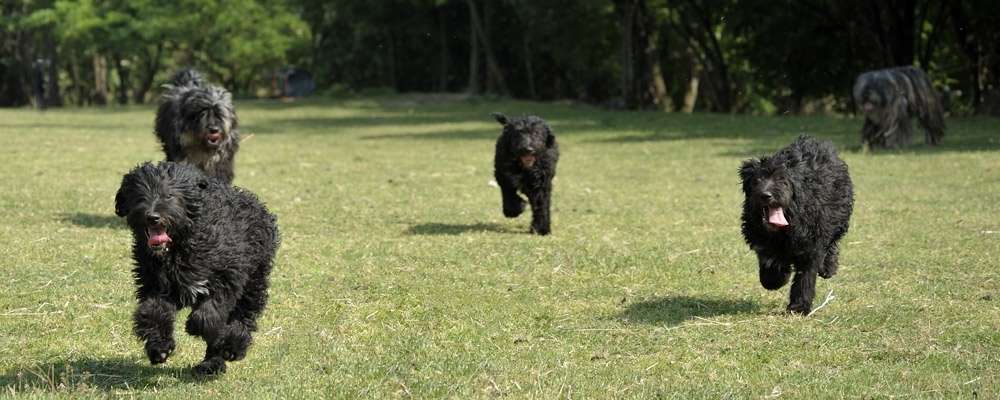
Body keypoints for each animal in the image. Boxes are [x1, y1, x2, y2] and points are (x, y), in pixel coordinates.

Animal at [115, 161, 280, 374]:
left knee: (244, 314)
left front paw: (197, 326)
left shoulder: (229, 273)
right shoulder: (156, 284)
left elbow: (211, 310)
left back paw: (230, 348)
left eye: (169, 195)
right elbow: (153, 312)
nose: (152, 217)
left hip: (255, 278)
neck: (180, 245)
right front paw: (159, 347)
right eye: (138, 195)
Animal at [740, 137, 856, 316]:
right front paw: (776, 278)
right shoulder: (763, 240)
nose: (766, 195)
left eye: (783, 181)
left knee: (832, 243)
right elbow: (770, 262)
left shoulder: (811, 246)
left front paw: (799, 307)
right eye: (756, 181)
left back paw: (828, 267)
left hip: (838, 217)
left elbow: (805, 278)